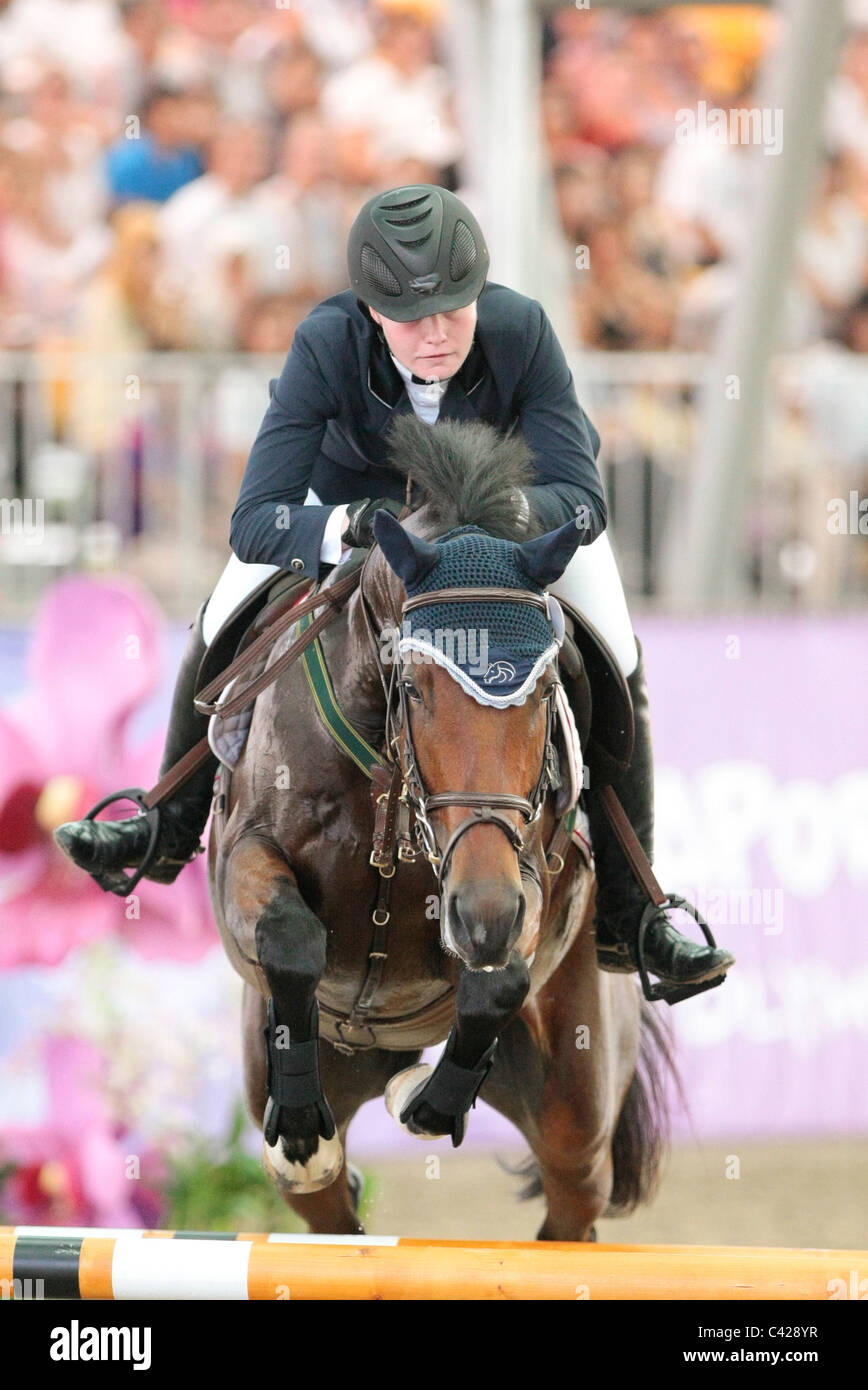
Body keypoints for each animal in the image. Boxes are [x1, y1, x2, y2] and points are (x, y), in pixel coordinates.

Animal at [208, 414, 670, 1239]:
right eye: (417, 687)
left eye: (544, 688)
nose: (482, 914)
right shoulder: (247, 854)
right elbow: (291, 938)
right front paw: (302, 1130)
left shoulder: (528, 877)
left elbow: (501, 978)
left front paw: (427, 1103)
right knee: (327, 1205)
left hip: (578, 1114)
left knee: (571, 1206)